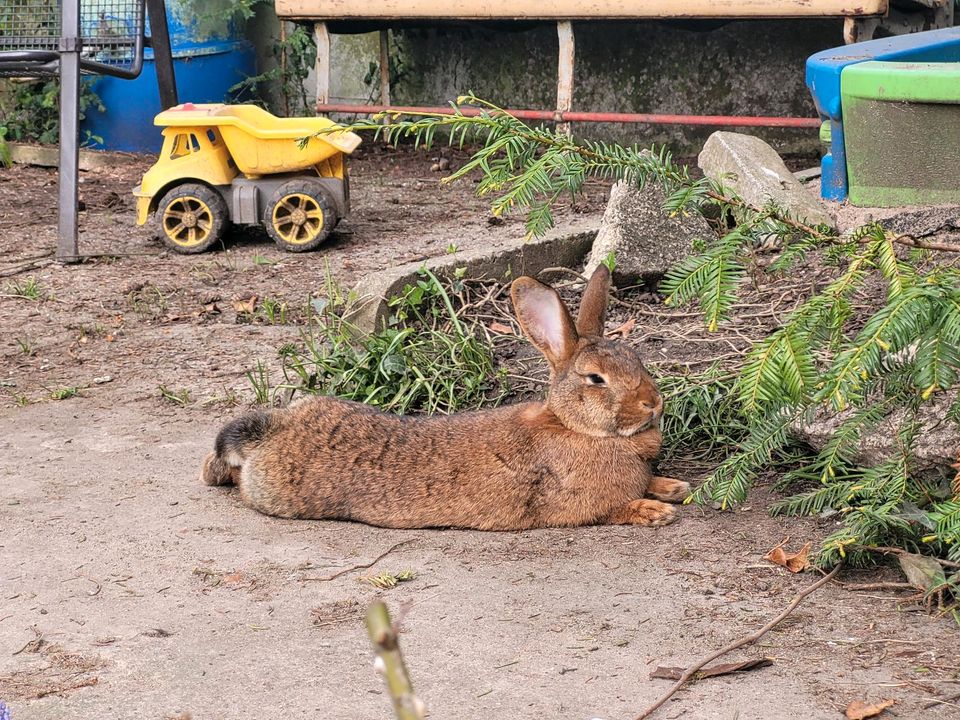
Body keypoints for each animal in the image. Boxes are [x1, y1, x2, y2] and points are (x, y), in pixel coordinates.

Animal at [201, 264, 688, 528]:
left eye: (636, 358)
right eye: (595, 379)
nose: (654, 403)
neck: (579, 428)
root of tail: (274, 429)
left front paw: (672, 487)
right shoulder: (577, 504)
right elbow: (614, 508)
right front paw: (653, 511)